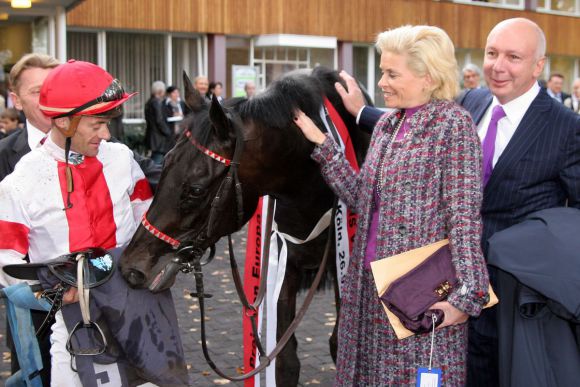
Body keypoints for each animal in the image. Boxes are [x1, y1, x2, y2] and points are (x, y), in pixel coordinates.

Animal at [120, 68, 370, 386]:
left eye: (196, 190)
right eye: (164, 164)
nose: (132, 267)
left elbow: (339, 344)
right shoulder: (284, 258)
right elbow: (285, 360)